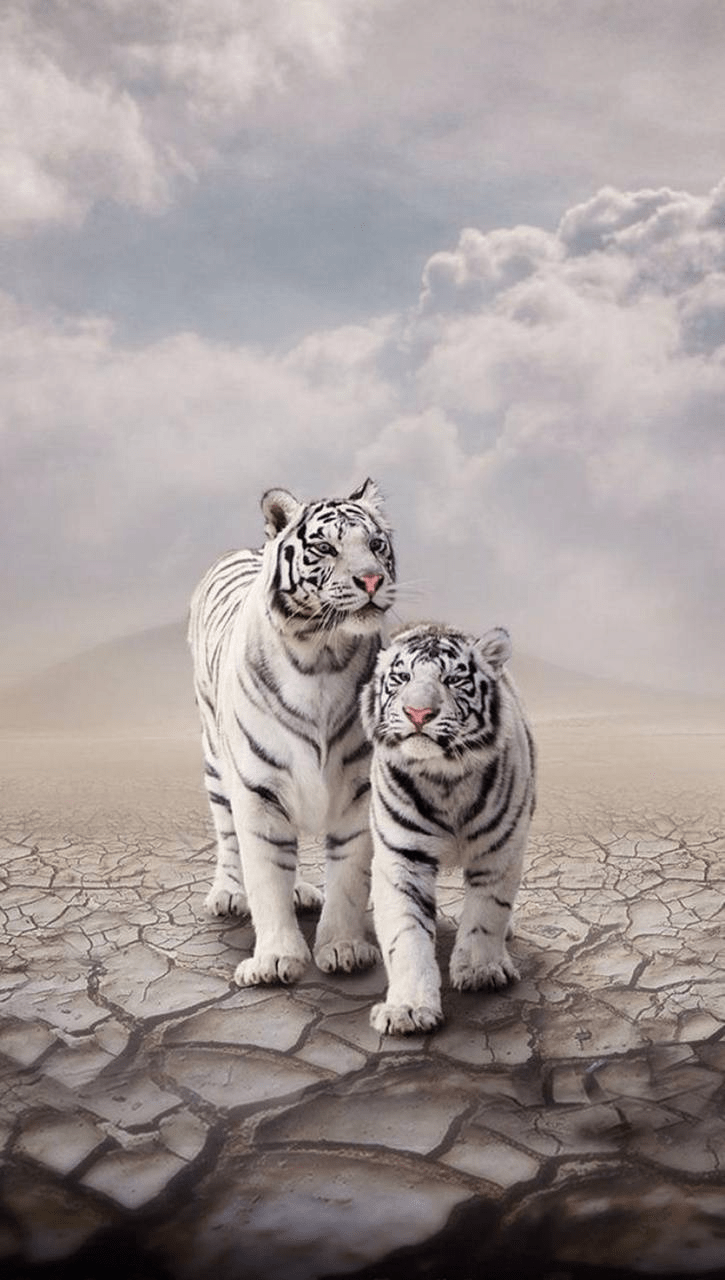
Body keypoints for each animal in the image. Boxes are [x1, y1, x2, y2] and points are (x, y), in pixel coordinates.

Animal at [188, 479, 396, 987]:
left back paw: (301, 890)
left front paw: (343, 948)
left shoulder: (358, 790)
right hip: (215, 762)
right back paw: (227, 893)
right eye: (325, 548)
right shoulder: (258, 791)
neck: (322, 654)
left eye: (376, 545)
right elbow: (265, 876)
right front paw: (276, 959)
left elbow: (348, 877)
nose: (372, 581)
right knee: (228, 835)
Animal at [360, 621, 536, 1035]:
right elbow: (406, 932)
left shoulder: (500, 851)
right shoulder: (402, 858)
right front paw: (407, 1009)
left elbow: (488, 912)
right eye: (402, 677)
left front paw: (481, 970)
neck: (444, 779)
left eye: (453, 679)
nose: (418, 712)